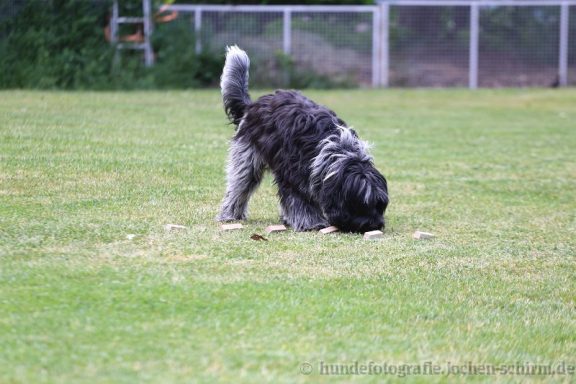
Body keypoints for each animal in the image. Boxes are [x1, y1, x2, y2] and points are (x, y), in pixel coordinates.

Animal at [218, 45, 390, 231]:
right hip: (247, 156)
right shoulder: (292, 173)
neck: (337, 150)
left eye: (380, 205)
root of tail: (251, 106)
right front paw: (311, 223)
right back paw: (229, 215)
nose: (377, 224)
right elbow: (298, 198)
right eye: (361, 205)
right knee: (239, 185)